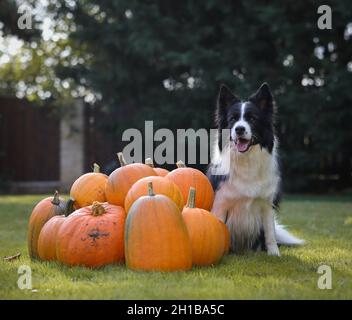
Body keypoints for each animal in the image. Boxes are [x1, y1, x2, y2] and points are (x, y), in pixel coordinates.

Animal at [208, 84, 304, 256]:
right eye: (232, 119)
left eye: (252, 119)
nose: (239, 129)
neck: (246, 160)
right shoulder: (220, 204)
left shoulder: (267, 204)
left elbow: (270, 233)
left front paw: (274, 255)